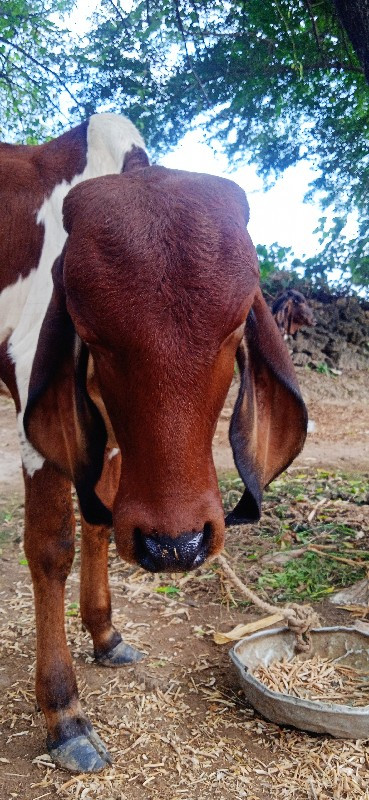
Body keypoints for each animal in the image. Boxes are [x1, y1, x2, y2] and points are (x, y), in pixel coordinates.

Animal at [0, 120, 306, 776]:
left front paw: (105, 634)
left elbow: (99, 522)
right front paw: (64, 714)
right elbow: (52, 547)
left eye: (234, 328)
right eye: (93, 335)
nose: (175, 546)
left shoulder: (107, 446)